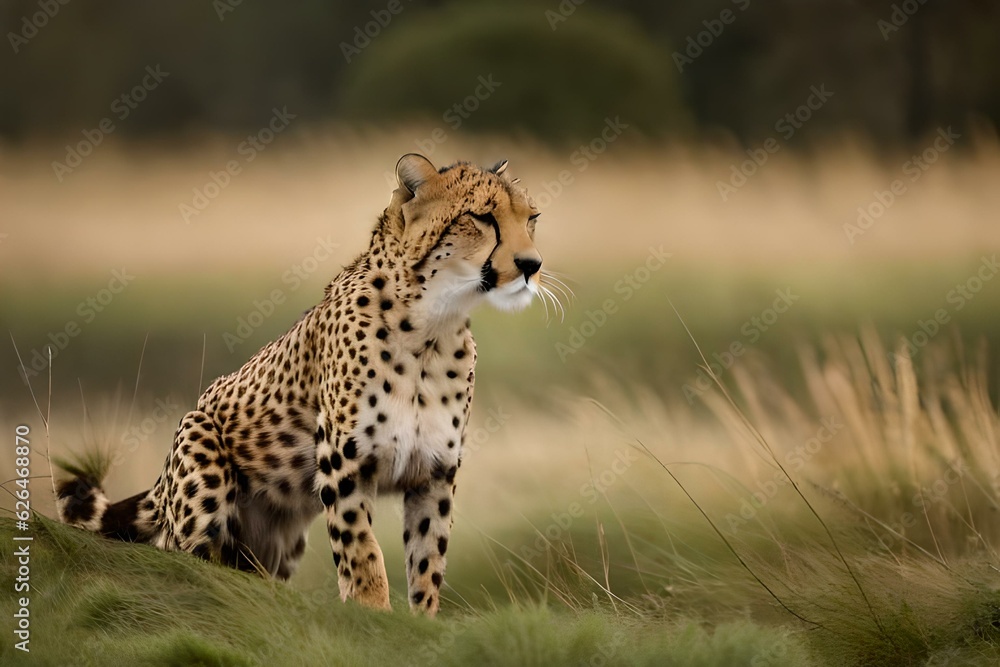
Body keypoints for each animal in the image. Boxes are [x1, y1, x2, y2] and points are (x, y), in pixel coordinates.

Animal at [56, 153, 548, 616]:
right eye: (482, 218)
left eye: (531, 218)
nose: (532, 265)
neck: (434, 326)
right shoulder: (342, 459)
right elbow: (362, 549)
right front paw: (372, 610)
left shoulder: (434, 473)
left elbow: (428, 562)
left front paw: (419, 620)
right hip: (198, 448)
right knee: (180, 557)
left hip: (280, 545)